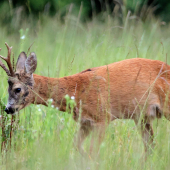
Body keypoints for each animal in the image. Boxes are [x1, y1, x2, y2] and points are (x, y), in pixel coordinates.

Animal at [0, 42, 170, 157]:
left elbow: (93, 151)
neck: (76, 92)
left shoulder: (103, 118)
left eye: (17, 89)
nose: (8, 109)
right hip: (141, 117)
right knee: (150, 146)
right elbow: (77, 146)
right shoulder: (85, 122)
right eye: (7, 88)